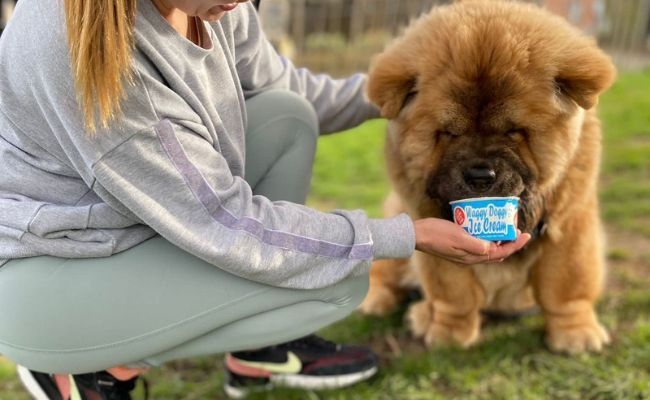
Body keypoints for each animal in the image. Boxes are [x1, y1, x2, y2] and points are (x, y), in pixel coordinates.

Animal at [356, 0, 616, 354]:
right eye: (449, 133)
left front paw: (575, 333)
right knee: (385, 273)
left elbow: (566, 287)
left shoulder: (569, 227)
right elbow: (454, 292)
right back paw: (385, 304)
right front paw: (450, 333)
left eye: (514, 131)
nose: (480, 174)